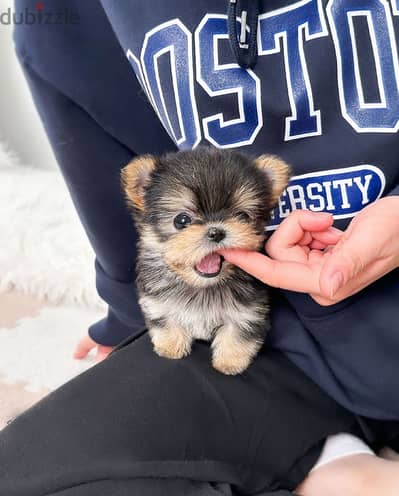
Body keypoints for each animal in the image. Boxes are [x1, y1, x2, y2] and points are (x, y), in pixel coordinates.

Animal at [122, 148, 290, 376]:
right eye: (181, 220)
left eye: (242, 216)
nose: (216, 232)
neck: (202, 287)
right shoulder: (157, 302)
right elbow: (165, 320)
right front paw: (170, 347)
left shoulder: (248, 312)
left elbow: (238, 335)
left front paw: (230, 362)